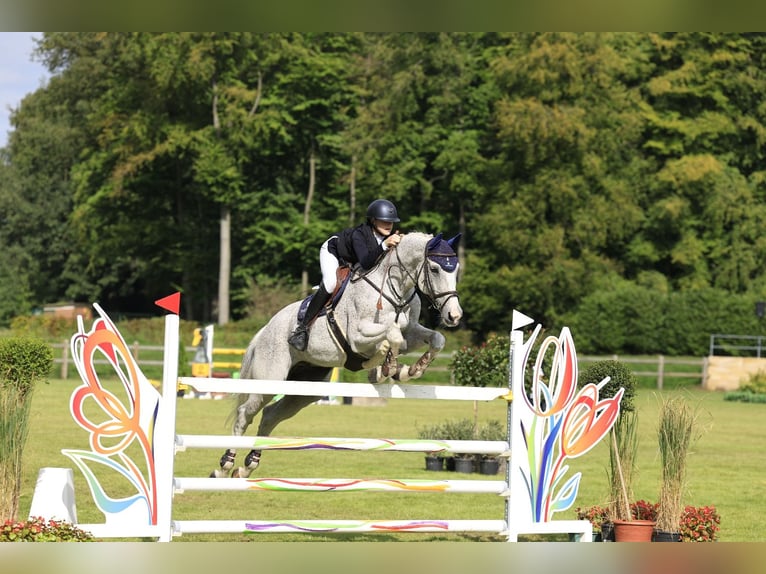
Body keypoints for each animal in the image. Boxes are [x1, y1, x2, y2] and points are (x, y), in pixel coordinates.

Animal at [210, 232, 462, 480]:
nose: (454, 315)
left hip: (305, 389)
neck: (395, 287)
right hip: (270, 380)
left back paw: (247, 466)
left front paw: (410, 369)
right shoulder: (358, 335)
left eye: (456, 269)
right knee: (245, 413)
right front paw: (383, 368)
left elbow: (433, 339)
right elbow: (392, 335)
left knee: (271, 415)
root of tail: (264, 330)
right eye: (435, 269)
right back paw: (224, 466)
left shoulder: (411, 330)